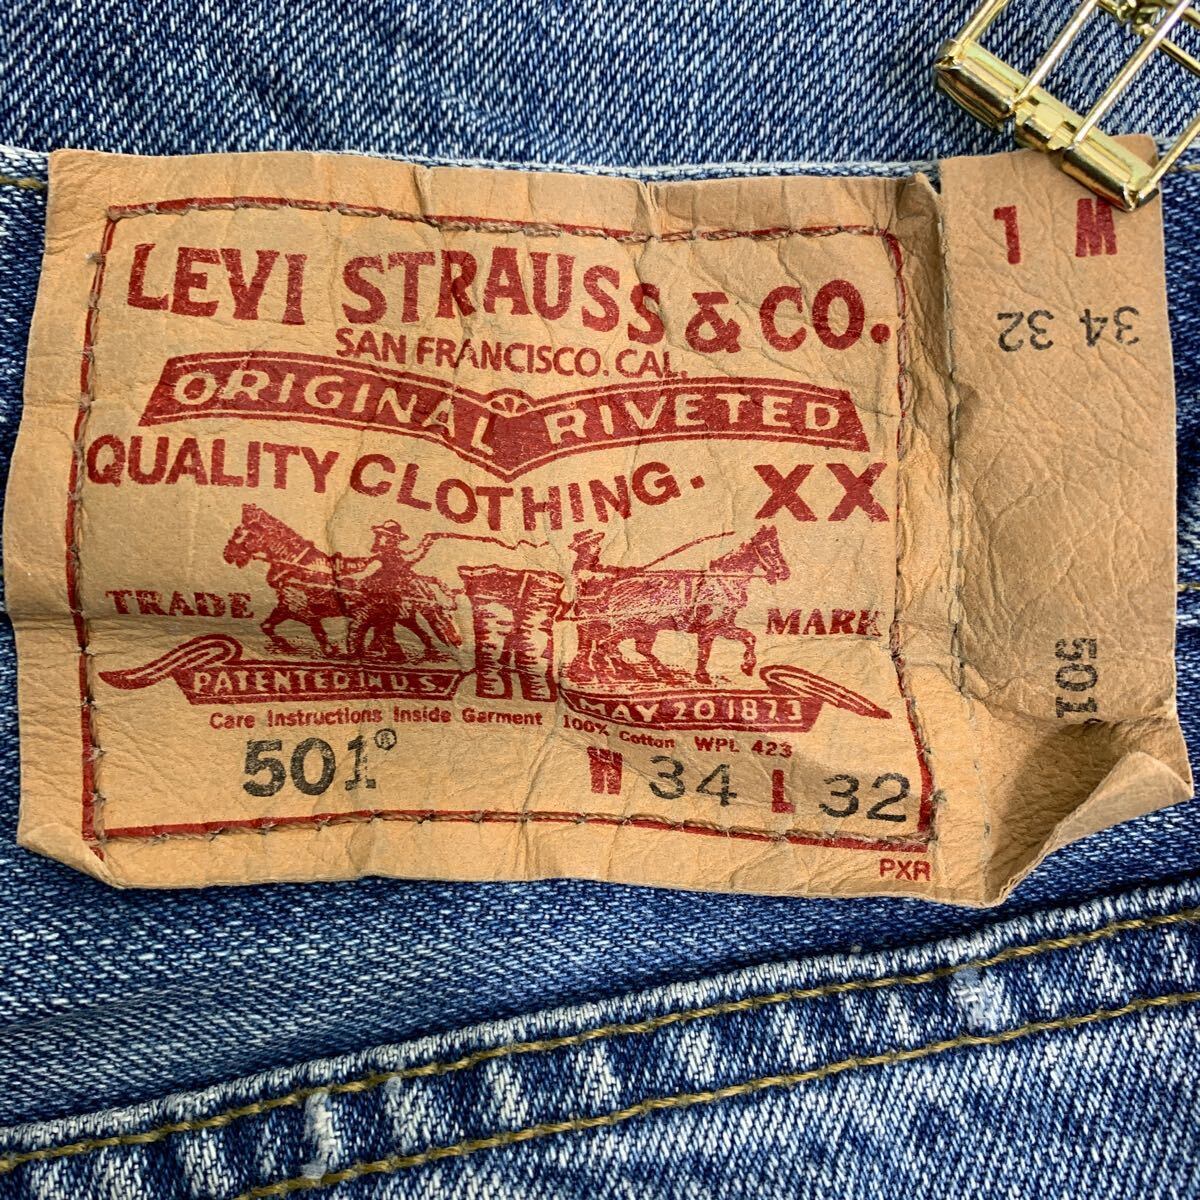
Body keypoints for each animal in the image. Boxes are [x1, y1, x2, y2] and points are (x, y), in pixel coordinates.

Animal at [565, 525, 789, 686]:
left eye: (777, 546)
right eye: (768, 548)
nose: (785, 573)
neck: (722, 582)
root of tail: (614, 587)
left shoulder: (723, 626)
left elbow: (749, 637)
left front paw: (746, 666)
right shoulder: (710, 628)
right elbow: (705, 652)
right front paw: (704, 676)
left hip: (646, 629)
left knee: (629, 647)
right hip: (630, 626)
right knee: (605, 643)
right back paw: (613, 673)